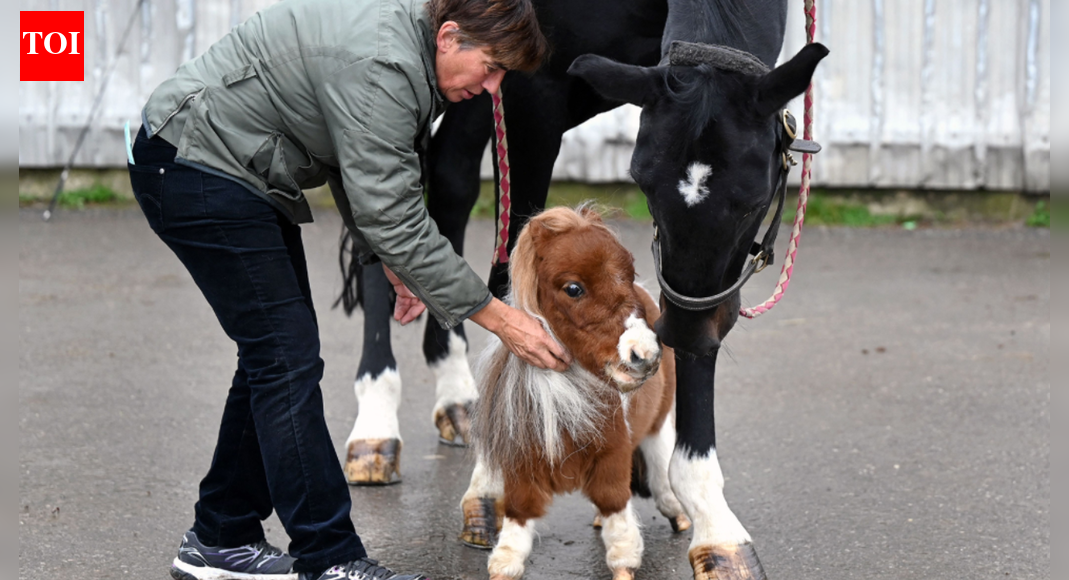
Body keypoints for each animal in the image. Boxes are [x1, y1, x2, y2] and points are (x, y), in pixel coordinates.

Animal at [468, 205, 688, 580]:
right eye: (573, 288)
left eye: (629, 273)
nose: (644, 354)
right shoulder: (521, 469)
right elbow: (517, 519)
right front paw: (504, 564)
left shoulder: (612, 459)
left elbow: (618, 515)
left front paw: (624, 562)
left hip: (658, 421)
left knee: (659, 464)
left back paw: (677, 514)